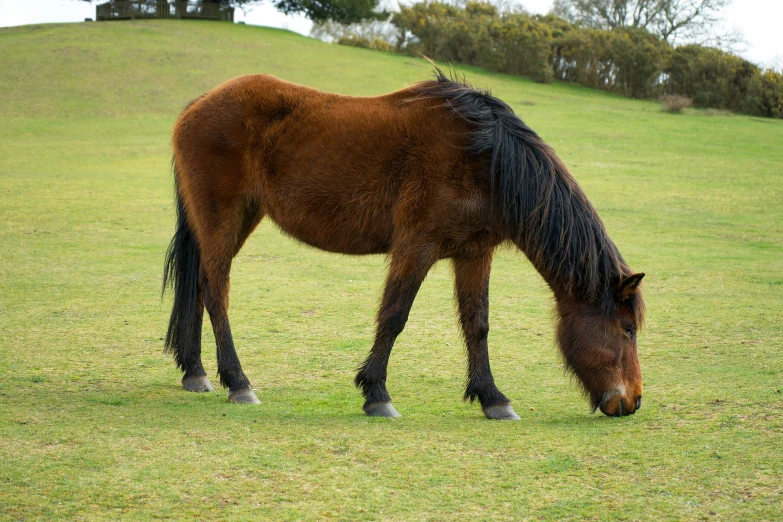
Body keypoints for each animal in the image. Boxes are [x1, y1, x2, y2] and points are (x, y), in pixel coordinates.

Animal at [162, 68, 648, 418]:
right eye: (627, 329)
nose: (633, 402)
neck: (484, 158)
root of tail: (197, 106)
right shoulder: (416, 247)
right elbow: (395, 315)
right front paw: (376, 393)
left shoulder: (474, 253)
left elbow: (477, 324)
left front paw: (492, 398)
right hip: (222, 218)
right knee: (217, 292)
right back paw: (238, 382)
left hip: (238, 219)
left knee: (201, 287)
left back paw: (196, 372)